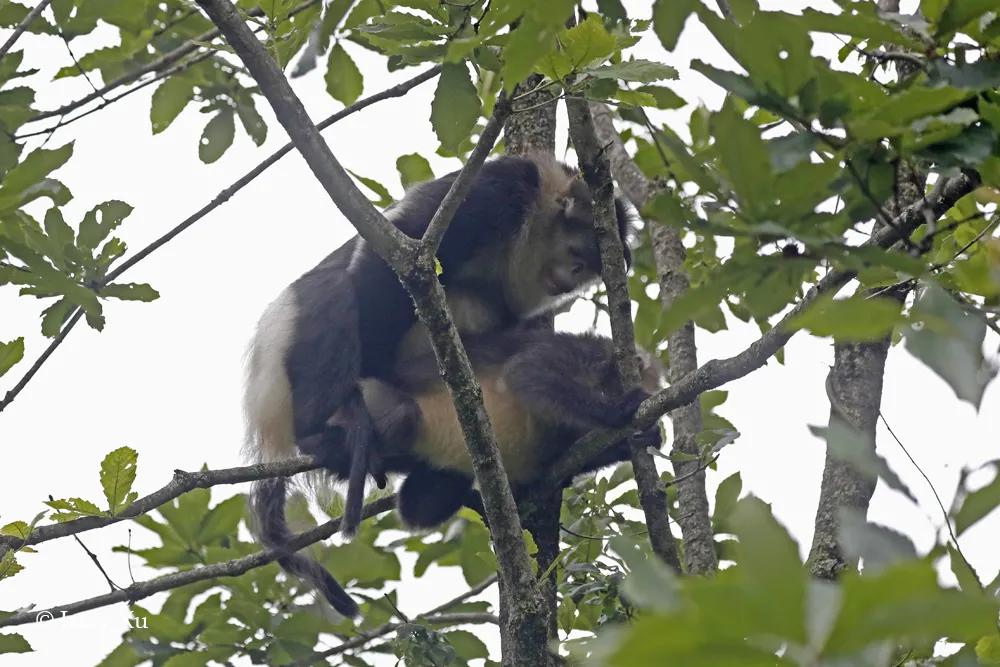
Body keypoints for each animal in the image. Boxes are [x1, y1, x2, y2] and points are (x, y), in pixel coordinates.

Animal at [243, 154, 636, 620]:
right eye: (578, 252)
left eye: (591, 267)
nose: (574, 276)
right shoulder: (494, 192)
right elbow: (393, 260)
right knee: (335, 289)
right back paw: (327, 430)